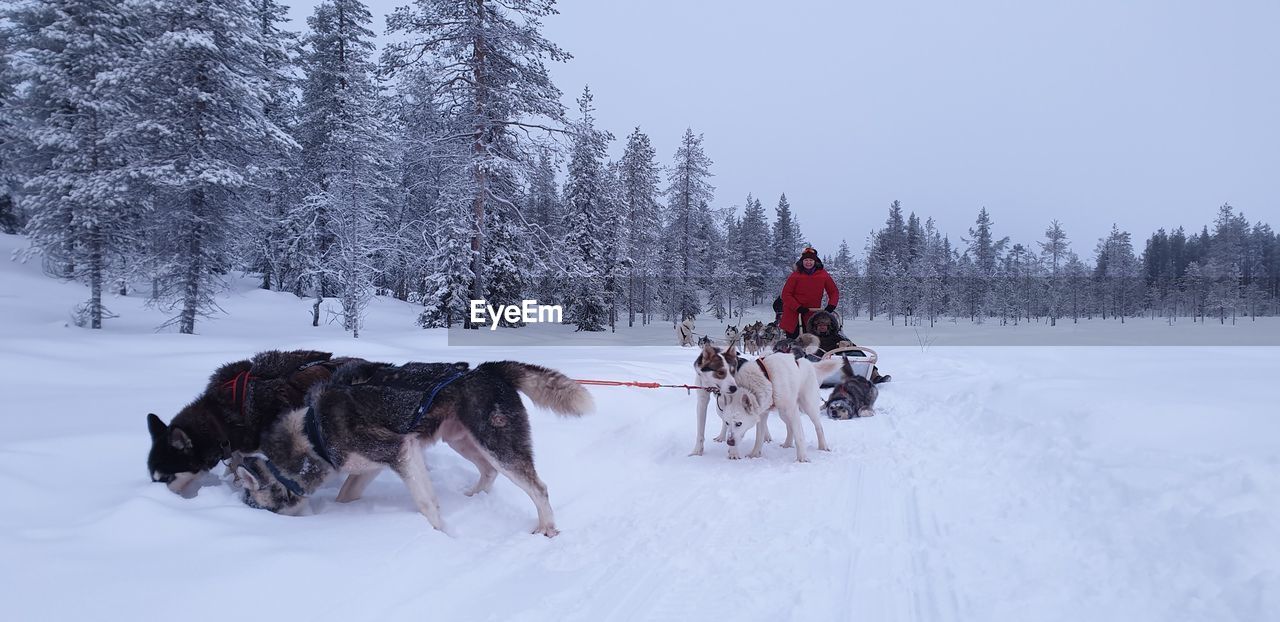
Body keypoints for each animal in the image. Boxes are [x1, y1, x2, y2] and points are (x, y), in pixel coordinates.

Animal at [235, 358, 593, 534]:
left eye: (257, 507)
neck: (312, 434)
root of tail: (487, 369)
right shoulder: (372, 464)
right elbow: (346, 495)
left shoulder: (399, 450)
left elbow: (425, 502)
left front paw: (439, 533)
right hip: (461, 440)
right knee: (488, 472)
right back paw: (474, 497)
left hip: (497, 445)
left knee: (538, 487)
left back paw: (547, 528)